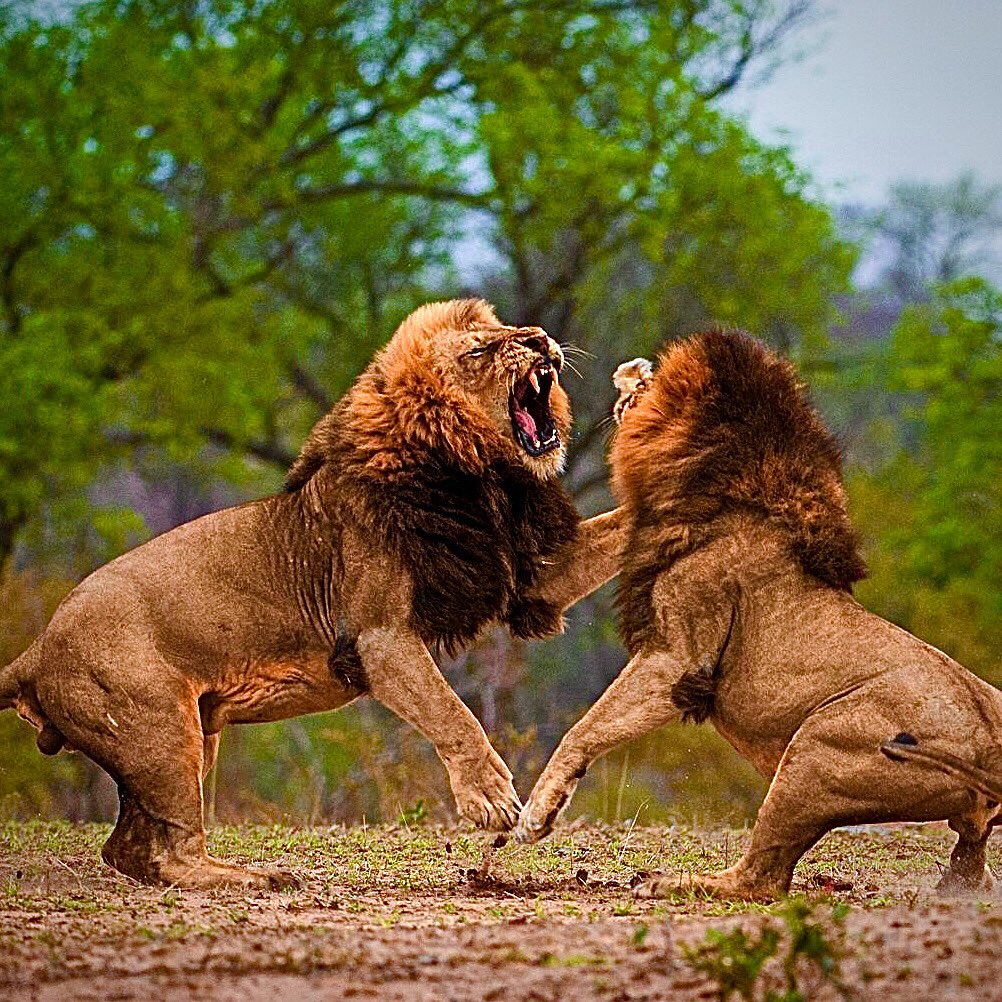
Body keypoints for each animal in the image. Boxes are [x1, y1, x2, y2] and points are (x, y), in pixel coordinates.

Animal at [0, 299, 625, 889]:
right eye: (479, 350)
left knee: (129, 850)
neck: (483, 478)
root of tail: (36, 649)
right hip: (160, 730)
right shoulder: (379, 638)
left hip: (189, 734)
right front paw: (491, 798)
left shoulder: (526, 574)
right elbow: (451, 713)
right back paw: (256, 877)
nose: (540, 339)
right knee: (170, 852)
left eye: (514, 331)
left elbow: (619, 529)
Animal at [516, 329, 1002, 901]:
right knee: (971, 860)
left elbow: (586, 727)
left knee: (762, 880)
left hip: (818, 748)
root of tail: (990, 748)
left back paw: (667, 881)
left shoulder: (677, 657)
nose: (627, 374)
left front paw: (537, 814)